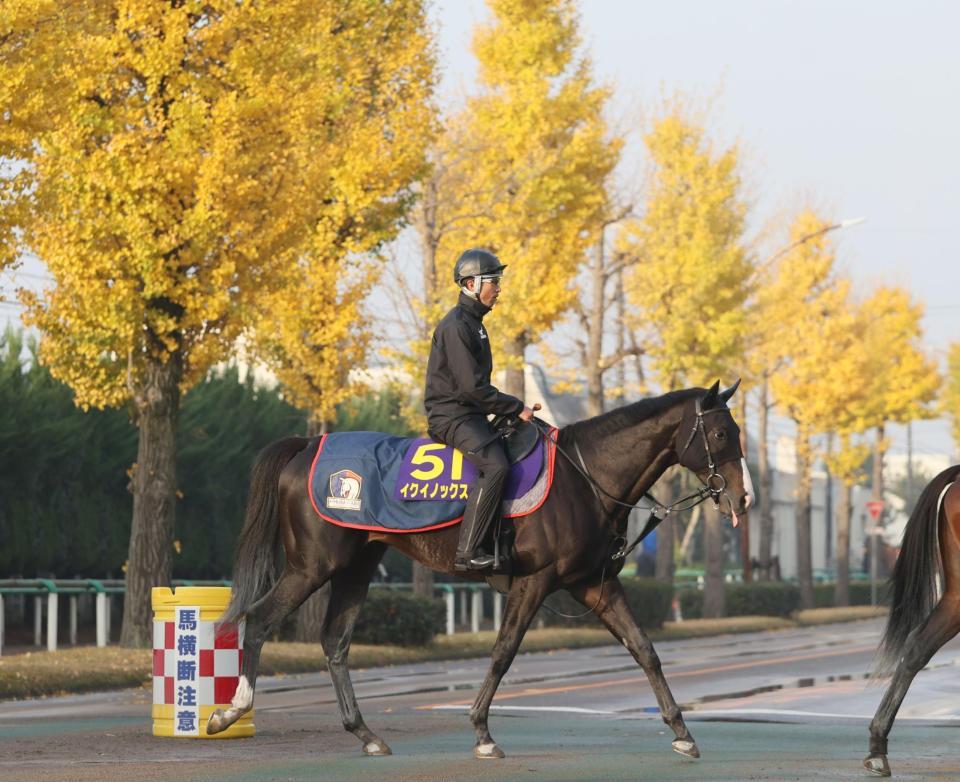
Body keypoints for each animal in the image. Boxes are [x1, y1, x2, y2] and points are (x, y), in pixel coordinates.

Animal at [208, 382, 752, 764]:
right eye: (721, 433)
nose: (742, 497)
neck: (583, 477)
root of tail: (307, 445)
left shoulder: (594, 586)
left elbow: (645, 650)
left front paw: (682, 732)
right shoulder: (535, 582)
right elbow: (503, 652)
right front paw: (482, 731)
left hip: (354, 567)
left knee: (335, 643)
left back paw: (366, 734)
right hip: (313, 565)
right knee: (260, 620)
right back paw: (231, 710)